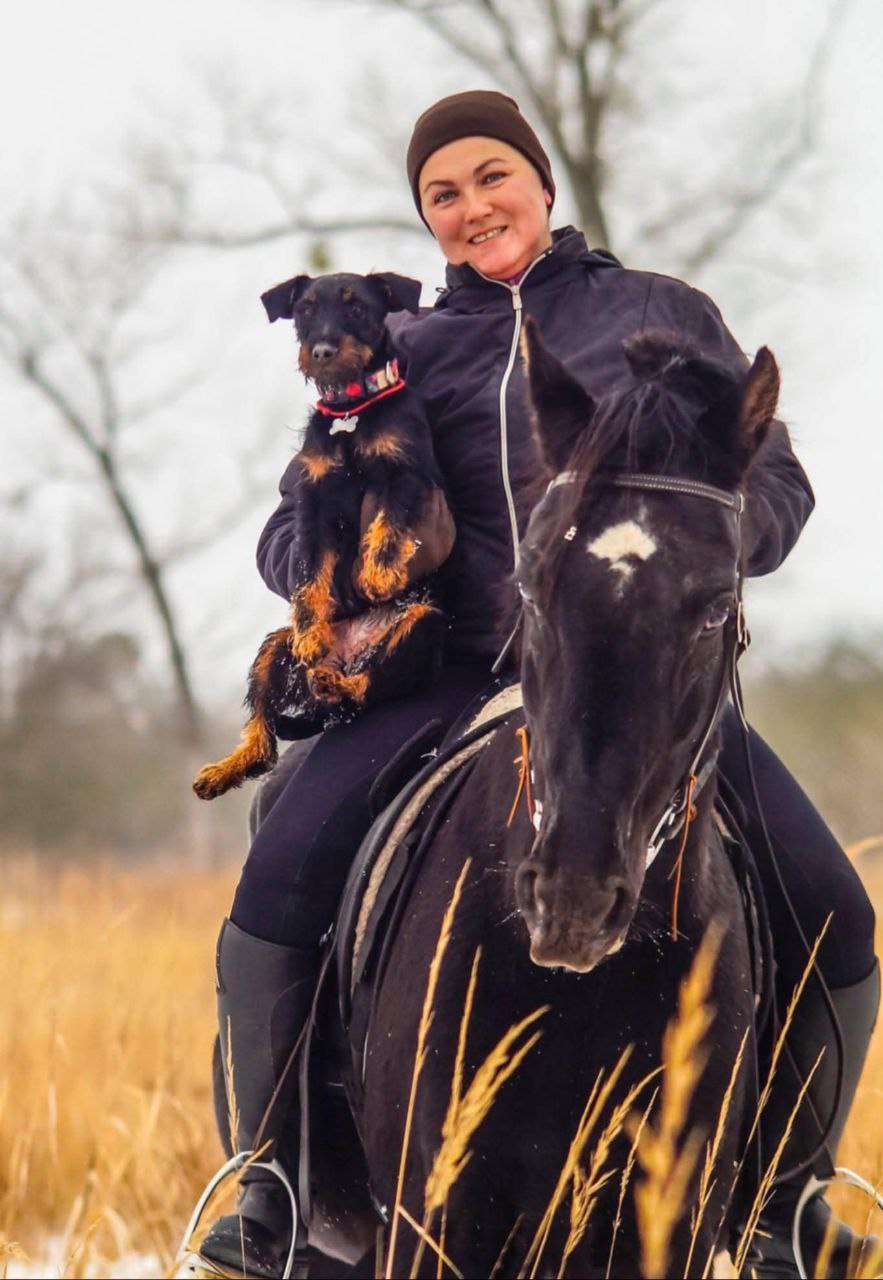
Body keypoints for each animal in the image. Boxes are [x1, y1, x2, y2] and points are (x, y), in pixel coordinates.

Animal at [193, 271, 453, 798]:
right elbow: (309, 574)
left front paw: (377, 576)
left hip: (423, 625)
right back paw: (226, 767)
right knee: (266, 737)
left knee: (368, 692)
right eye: (306, 309)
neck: (351, 408)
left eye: (357, 308)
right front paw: (312, 631)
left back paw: (339, 684)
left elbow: (388, 523)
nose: (324, 350)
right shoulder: (313, 503)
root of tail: (349, 659)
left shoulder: (407, 473)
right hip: (274, 652)